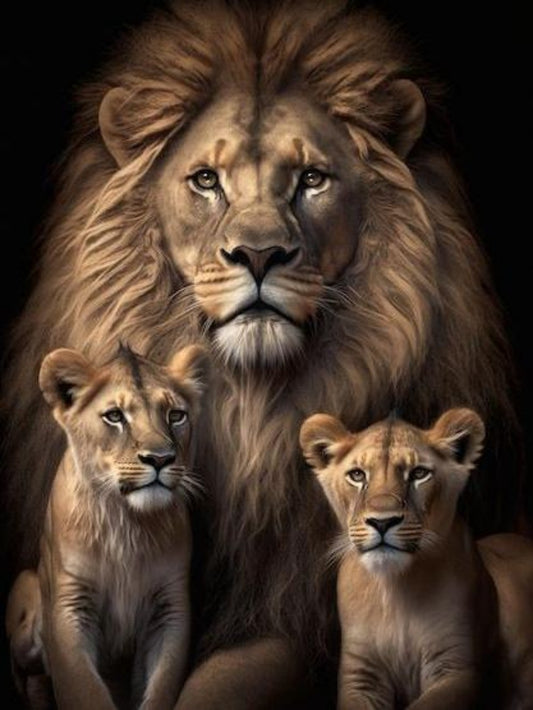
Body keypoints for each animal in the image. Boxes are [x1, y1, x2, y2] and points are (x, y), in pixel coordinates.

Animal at [7, 344, 208, 710]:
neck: (126, 521)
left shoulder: (170, 606)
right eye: (115, 416)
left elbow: (162, 686)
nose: (160, 459)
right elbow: (83, 690)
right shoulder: (68, 604)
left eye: (176, 415)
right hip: (26, 591)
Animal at [300, 408, 533, 709]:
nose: (382, 522)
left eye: (419, 473)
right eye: (357, 475)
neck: (394, 591)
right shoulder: (361, 673)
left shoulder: (456, 667)